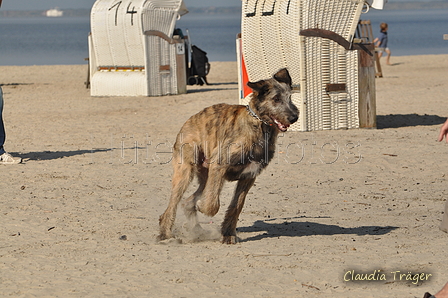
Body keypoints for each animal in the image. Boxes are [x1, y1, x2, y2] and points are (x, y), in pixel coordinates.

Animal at [158, 68, 298, 244]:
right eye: (276, 99)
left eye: (289, 97)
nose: (294, 117)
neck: (259, 126)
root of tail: (190, 120)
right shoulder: (219, 166)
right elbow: (212, 204)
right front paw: (204, 208)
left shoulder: (248, 177)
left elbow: (236, 206)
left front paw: (228, 233)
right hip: (186, 172)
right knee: (173, 205)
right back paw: (165, 234)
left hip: (205, 176)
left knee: (188, 201)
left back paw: (196, 230)